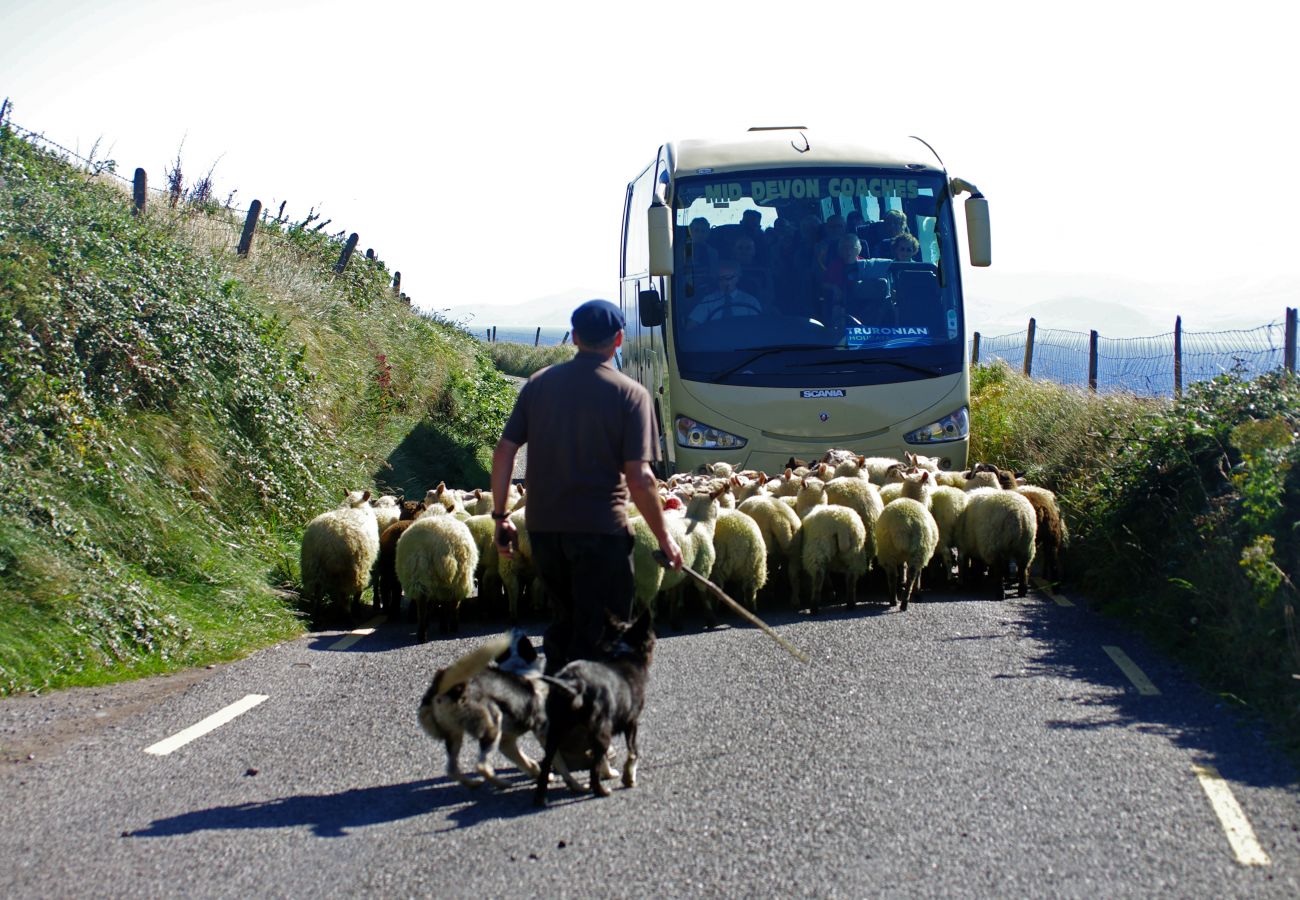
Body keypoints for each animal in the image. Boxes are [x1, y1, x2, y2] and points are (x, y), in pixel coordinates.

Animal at [302, 491, 382, 626]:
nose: (375, 500)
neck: (353, 506)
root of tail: (329, 540)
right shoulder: (364, 565)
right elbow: (357, 593)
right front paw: (356, 610)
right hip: (351, 569)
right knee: (345, 594)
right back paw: (348, 616)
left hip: (313, 566)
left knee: (318, 591)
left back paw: (317, 617)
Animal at [397, 507, 480, 639]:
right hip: (459, 576)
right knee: (452, 602)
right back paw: (449, 626)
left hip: (421, 574)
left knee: (423, 603)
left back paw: (424, 632)